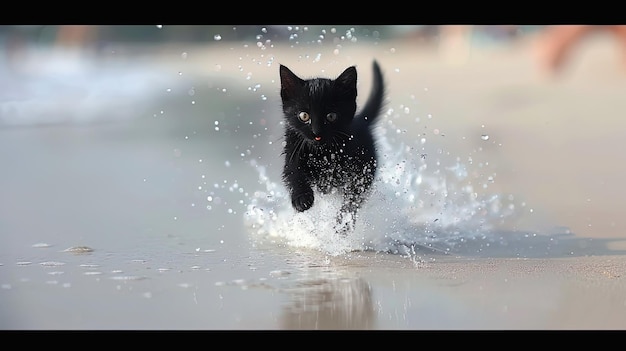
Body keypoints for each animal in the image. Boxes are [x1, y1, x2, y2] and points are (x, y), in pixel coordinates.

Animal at [280, 61, 386, 234]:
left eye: (331, 116)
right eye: (304, 116)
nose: (317, 133)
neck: (322, 154)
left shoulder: (360, 173)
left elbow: (353, 198)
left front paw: (343, 223)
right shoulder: (292, 152)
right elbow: (294, 174)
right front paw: (302, 199)